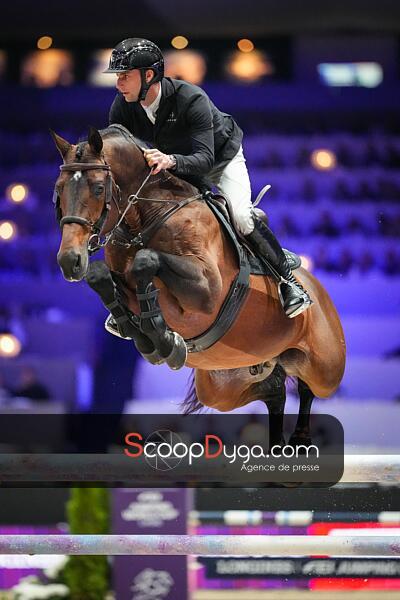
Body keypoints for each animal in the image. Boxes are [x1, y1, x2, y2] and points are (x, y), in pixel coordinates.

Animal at [51, 125, 346, 448]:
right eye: (58, 190)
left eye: (97, 188)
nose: (70, 261)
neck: (146, 220)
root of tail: (318, 290)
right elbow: (101, 276)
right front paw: (150, 339)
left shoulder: (206, 289)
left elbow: (146, 260)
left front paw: (165, 340)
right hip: (222, 388)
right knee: (275, 390)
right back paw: (279, 443)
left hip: (326, 368)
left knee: (309, 387)